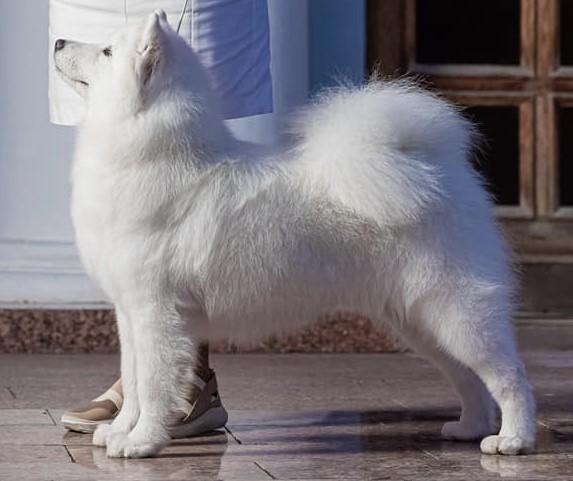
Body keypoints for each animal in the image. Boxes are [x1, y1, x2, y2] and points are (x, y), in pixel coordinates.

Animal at [54, 9, 536, 456]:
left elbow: (153, 385)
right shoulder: (130, 310)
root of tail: (437, 166)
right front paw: (120, 430)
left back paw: (513, 439)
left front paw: (142, 443)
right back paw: (470, 427)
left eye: (107, 52)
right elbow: (133, 381)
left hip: (455, 311)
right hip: (420, 321)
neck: (151, 153)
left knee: (510, 376)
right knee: (469, 378)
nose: (57, 41)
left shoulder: (158, 311)